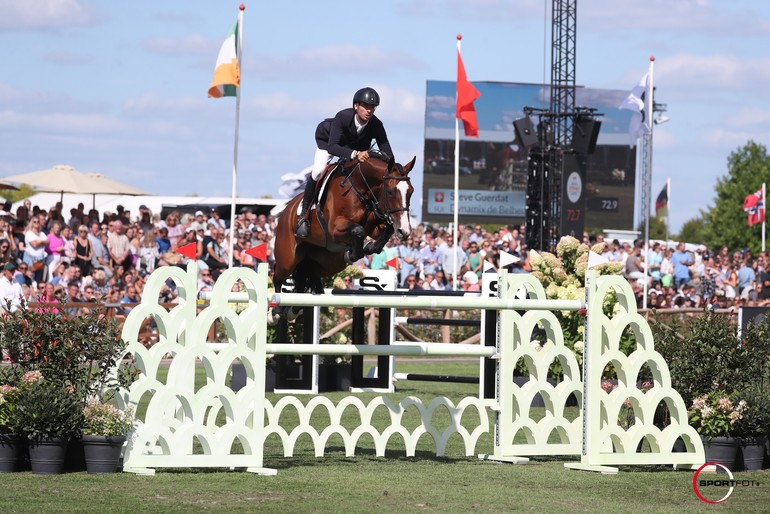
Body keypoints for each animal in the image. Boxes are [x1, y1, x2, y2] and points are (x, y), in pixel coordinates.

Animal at [272, 152, 414, 302]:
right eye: (391, 192)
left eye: (411, 191)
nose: (404, 231)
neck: (360, 188)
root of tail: (286, 210)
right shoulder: (335, 228)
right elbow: (358, 230)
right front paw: (355, 252)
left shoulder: (374, 228)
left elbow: (387, 230)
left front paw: (368, 247)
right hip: (287, 260)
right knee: (277, 278)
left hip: (328, 262)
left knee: (311, 273)